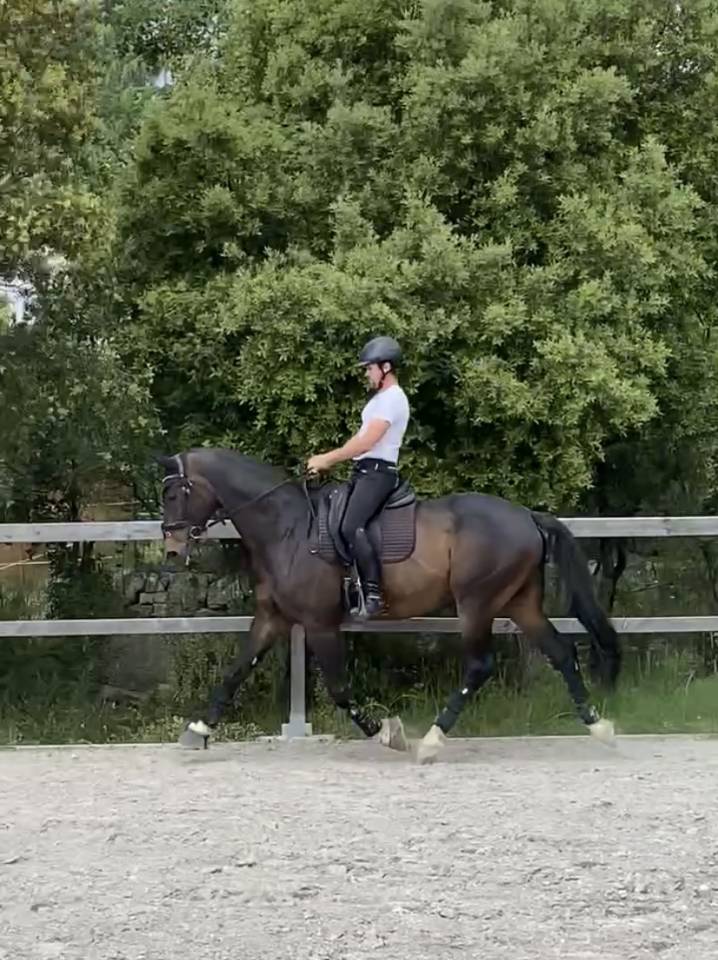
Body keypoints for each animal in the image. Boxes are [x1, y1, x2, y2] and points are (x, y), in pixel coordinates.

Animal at [156, 448, 621, 762]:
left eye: (175, 494)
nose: (172, 549)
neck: (287, 528)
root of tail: (527, 516)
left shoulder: (320, 623)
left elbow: (340, 690)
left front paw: (384, 731)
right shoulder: (272, 618)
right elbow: (236, 670)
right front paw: (197, 729)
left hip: (477, 603)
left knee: (479, 666)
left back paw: (431, 741)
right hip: (520, 602)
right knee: (561, 652)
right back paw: (599, 726)